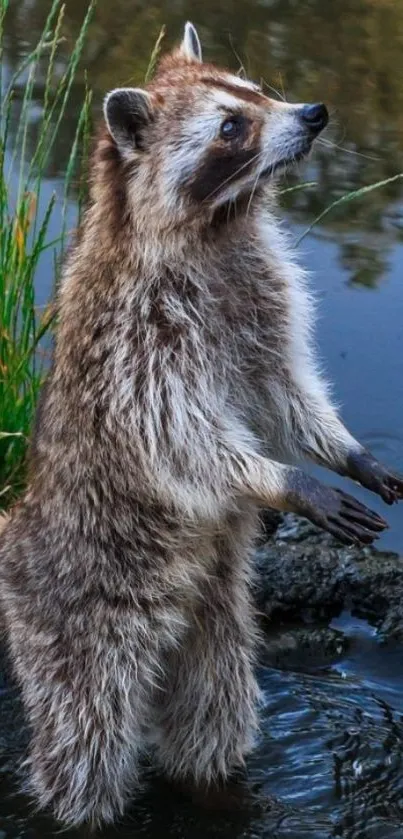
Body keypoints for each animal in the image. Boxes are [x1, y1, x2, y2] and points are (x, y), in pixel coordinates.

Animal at [0, 23, 402, 832]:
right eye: (231, 127)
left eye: (258, 91)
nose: (313, 113)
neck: (220, 224)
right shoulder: (138, 336)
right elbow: (175, 431)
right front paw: (284, 480)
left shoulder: (259, 299)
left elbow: (283, 395)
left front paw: (341, 451)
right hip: (76, 618)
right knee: (86, 740)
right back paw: (79, 804)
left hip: (215, 621)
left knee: (212, 711)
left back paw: (213, 782)